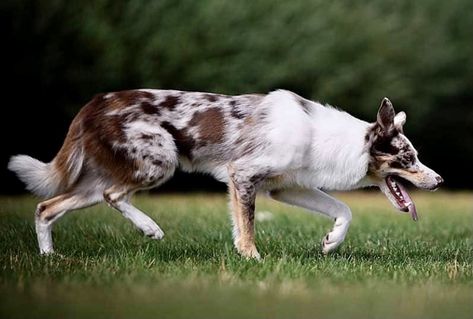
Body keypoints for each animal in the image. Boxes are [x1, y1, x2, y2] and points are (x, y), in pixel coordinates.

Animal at [7, 90, 442, 260]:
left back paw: (50, 259)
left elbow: (344, 210)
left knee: (47, 207)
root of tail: (95, 102)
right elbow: (246, 227)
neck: (322, 137)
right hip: (159, 159)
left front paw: (331, 242)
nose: (438, 181)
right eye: (408, 157)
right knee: (115, 195)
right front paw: (252, 260)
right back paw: (149, 228)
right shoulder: (243, 175)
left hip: (97, 182)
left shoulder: (287, 188)